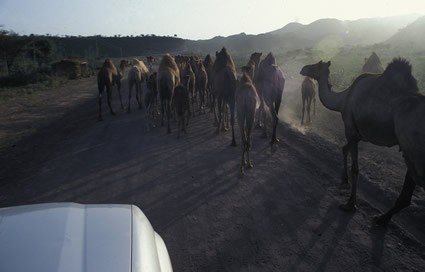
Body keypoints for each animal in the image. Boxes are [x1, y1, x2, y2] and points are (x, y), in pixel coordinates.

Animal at [300, 58, 422, 224]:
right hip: (410, 154)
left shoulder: (350, 129)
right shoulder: (358, 134)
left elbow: (355, 168)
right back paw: (383, 218)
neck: (343, 100)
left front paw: (350, 204)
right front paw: (344, 180)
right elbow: (344, 149)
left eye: (315, 65)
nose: (303, 69)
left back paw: (381, 218)